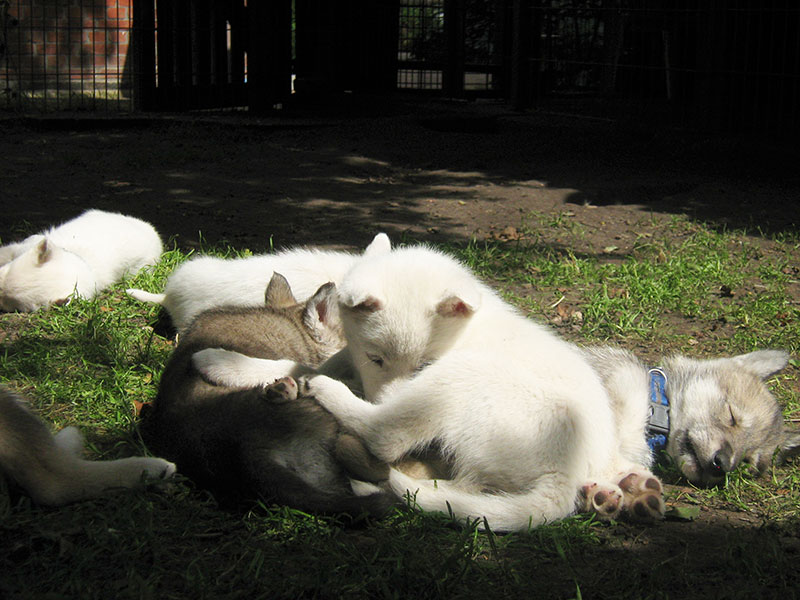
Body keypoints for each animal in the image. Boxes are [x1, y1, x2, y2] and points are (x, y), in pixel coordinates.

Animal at [192, 245, 800, 531]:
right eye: (732, 419)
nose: (723, 466)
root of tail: (567, 475)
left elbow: (327, 377)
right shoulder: (355, 360)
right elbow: (301, 361)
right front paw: (226, 363)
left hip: (463, 385)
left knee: (385, 437)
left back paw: (335, 404)